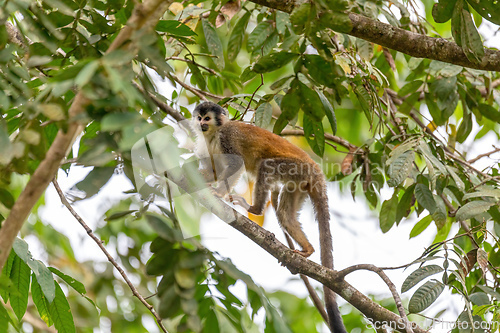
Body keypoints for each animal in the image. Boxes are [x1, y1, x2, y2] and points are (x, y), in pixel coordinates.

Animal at [192, 101, 348, 332]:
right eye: (199, 118)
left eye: (207, 118)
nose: (201, 124)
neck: (214, 133)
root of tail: (315, 167)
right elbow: (214, 170)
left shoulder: (226, 137)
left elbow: (236, 164)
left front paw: (218, 193)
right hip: (299, 182)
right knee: (284, 214)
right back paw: (308, 250)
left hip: (296, 168)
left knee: (266, 166)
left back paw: (255, 209)